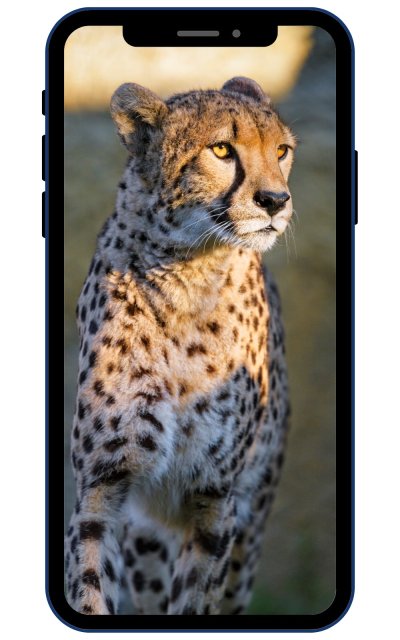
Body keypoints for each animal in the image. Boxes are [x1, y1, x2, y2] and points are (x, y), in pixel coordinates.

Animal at [64, 76, 296, 616]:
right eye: (222, 149)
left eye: (282, 151)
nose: (276, 200)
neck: (187, 275)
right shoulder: (101, 487)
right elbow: (89, 588)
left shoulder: (215, 501)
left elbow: (197, 600)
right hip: (147, 538)